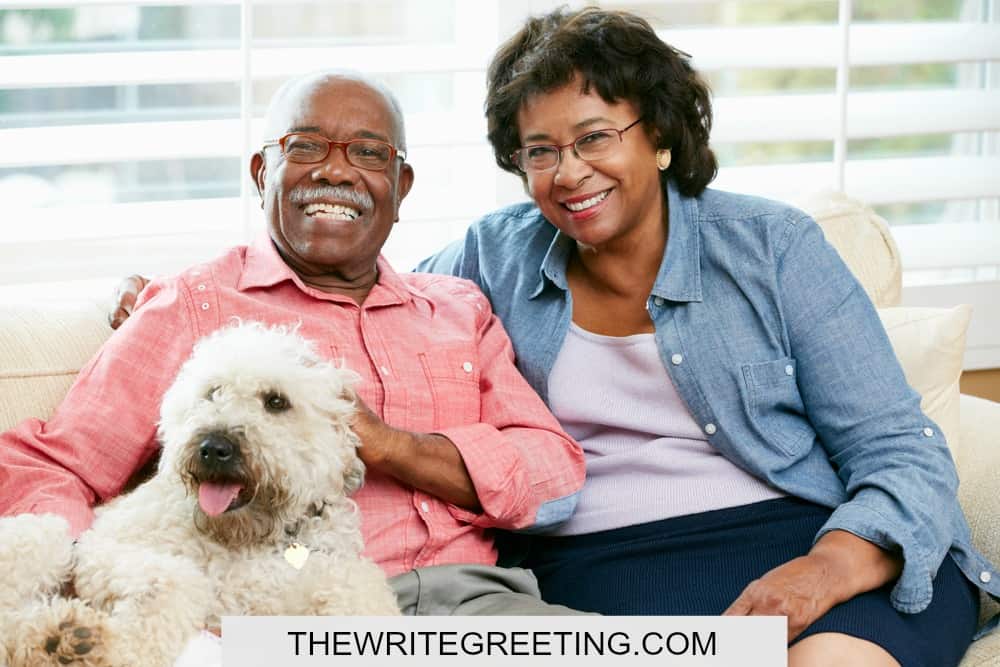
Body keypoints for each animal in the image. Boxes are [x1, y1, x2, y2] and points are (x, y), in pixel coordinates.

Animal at [0, 320, 398, 664]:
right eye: (213, 393)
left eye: (276, 401)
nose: (212, 447)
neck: (255, 538)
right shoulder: (101, 551)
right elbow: (177, 583)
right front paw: (116, 649)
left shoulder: (308, 582)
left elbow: (359, 590)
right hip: (47, 535)